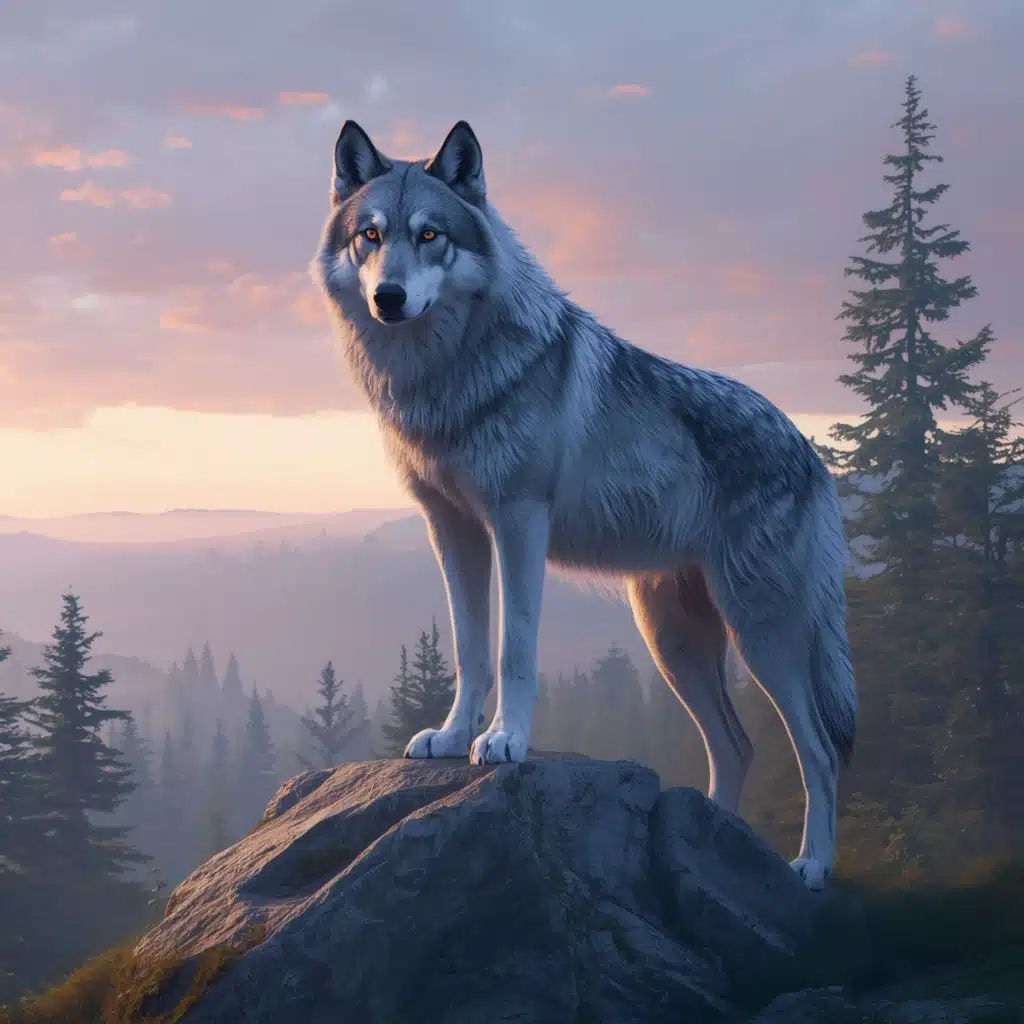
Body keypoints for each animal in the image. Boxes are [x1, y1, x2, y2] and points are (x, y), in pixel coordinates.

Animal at [311, 120, 857, 890]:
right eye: (371, 235)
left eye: (430, 235)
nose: (389, 296)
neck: (444, 376)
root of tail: (811, 451)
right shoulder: (452, 529)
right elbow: (470, 648)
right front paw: (452, 736)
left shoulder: (519, 522)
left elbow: (514, 649)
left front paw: (504, 741)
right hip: (672, 642)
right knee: (737, 745)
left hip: (763, 633)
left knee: (819, 751)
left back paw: (809, 866)